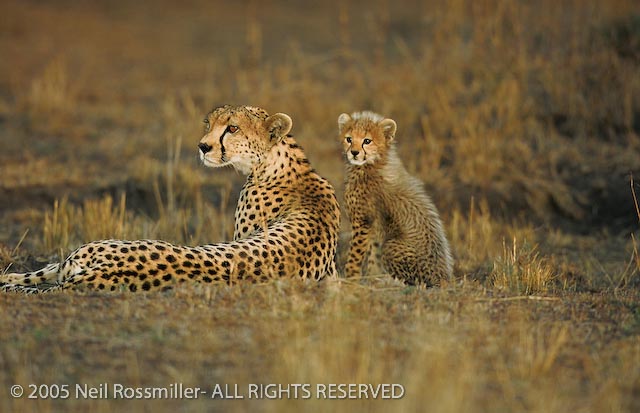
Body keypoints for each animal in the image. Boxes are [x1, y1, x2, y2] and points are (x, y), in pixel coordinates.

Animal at [0, 105, 340, 293]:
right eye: (209, 124)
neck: (275, 162)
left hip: (86, 250)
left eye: (232, 128)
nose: (203, 146)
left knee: (42, 272)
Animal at [338, 111, 453, 286]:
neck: (371, 165)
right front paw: (371, 277)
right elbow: (372, 257)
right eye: (349, 139)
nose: (354, 153)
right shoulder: (372, 230)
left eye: (367, 141)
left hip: (391, 245)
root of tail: (443, 278)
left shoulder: (362, 221)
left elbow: (355, 255)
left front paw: (350, 278)